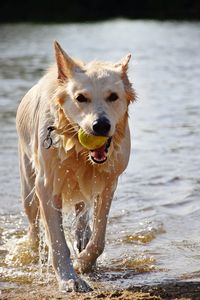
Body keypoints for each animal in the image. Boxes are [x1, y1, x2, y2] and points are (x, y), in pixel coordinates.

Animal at [16, 41, 136, 292]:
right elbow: (57, 242)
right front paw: (69, 279)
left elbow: (99, 238)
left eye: (113, 96)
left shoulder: (109, 183)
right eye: (81, 98)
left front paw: (84, 263)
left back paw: (82, 238)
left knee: (82, 215)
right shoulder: (46, 186)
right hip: (28, 187)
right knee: (33, 229)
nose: (101, 125)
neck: (79, 152)